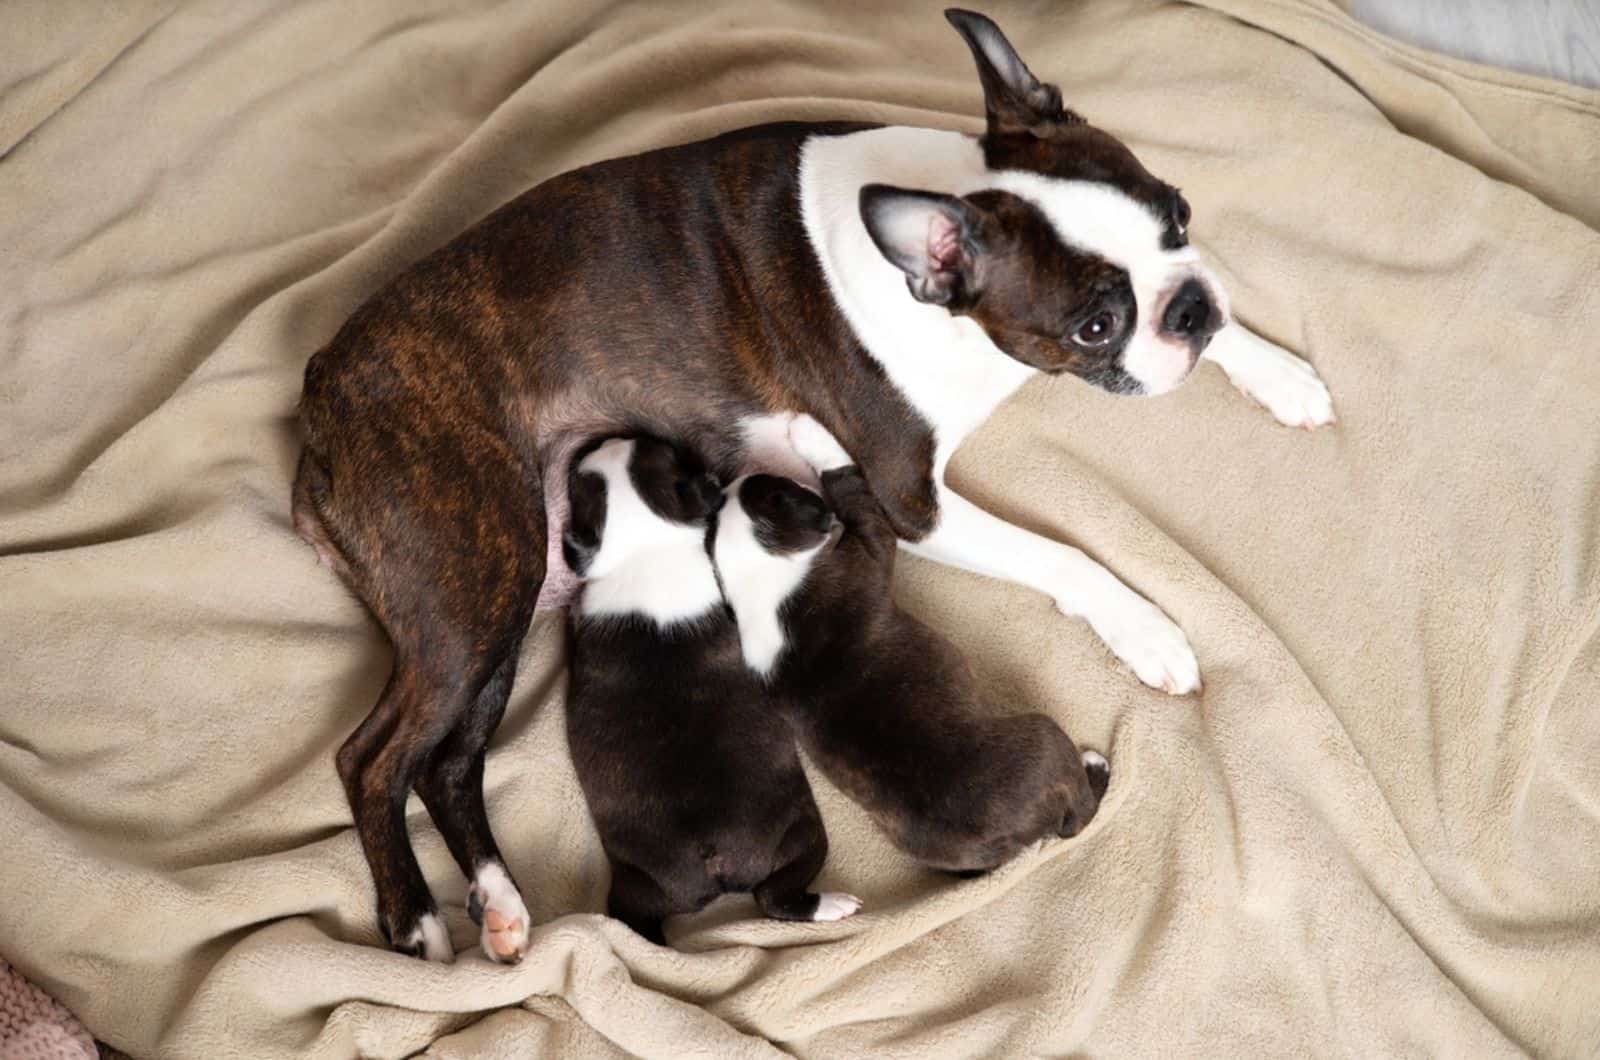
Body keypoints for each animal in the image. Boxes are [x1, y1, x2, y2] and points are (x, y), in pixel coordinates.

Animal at [566, 435, 864, 947]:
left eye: (581, 485)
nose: (608, 436)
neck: (647, 551)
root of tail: (714, 861)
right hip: (804, 831)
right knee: (774, 896)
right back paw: (833, 905)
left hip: (636, 883)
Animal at [713, 419, 1113, 877]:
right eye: (779, 489)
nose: (735, 477)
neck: (760, 582)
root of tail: (1013, 838)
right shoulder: (871, 545)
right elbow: (851, 486)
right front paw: (814, 436)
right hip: (1045, 741)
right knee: (1079, 815)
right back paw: (1095, 769)